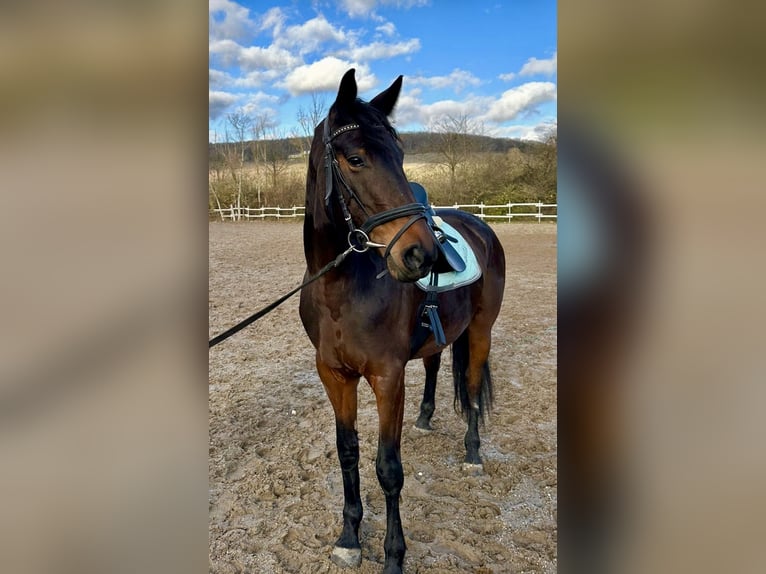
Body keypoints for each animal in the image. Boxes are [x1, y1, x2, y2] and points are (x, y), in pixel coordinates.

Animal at [299, 69, 506, 574]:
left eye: (400, 155)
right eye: (355, 158)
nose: (422, 255)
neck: (342, 290)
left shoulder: (387, 378)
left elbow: (388, 469)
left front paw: (393, 555)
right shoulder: (334, 374)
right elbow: (348, 454)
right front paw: (349, 538)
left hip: (481, 332)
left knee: (472, 389)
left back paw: (472, 454)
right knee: (433, 366)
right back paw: (426, 418)